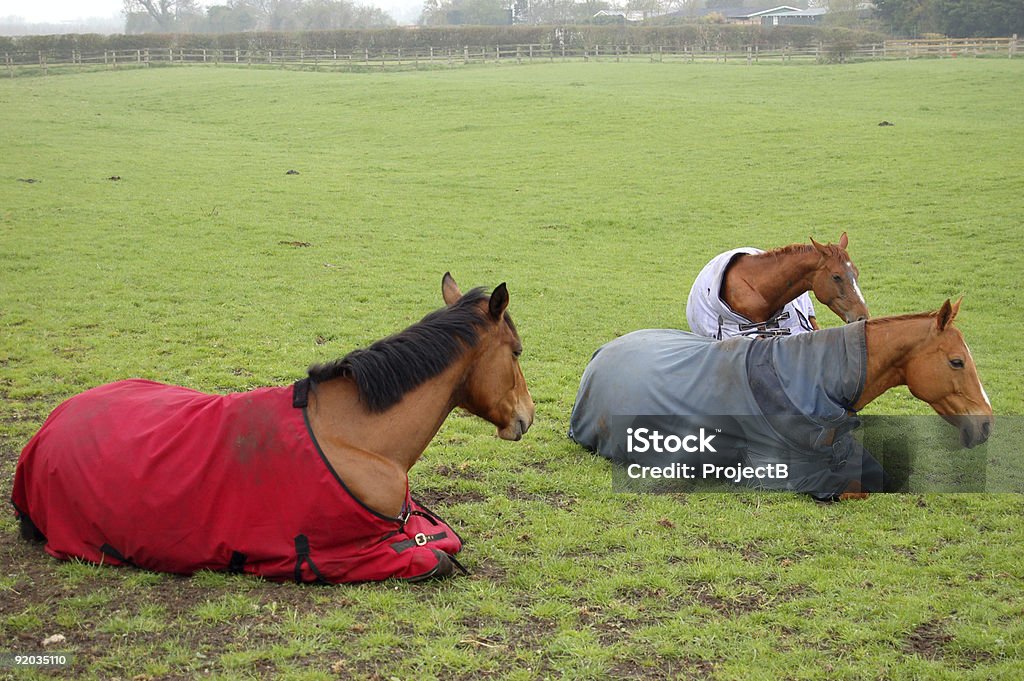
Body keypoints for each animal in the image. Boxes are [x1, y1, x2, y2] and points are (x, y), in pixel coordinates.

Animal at [12, 274, 536, 581]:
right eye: (517, 351)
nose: (527, 417)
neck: (358, 439)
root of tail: (43, 434)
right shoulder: (351, 554)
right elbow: (438, 556)